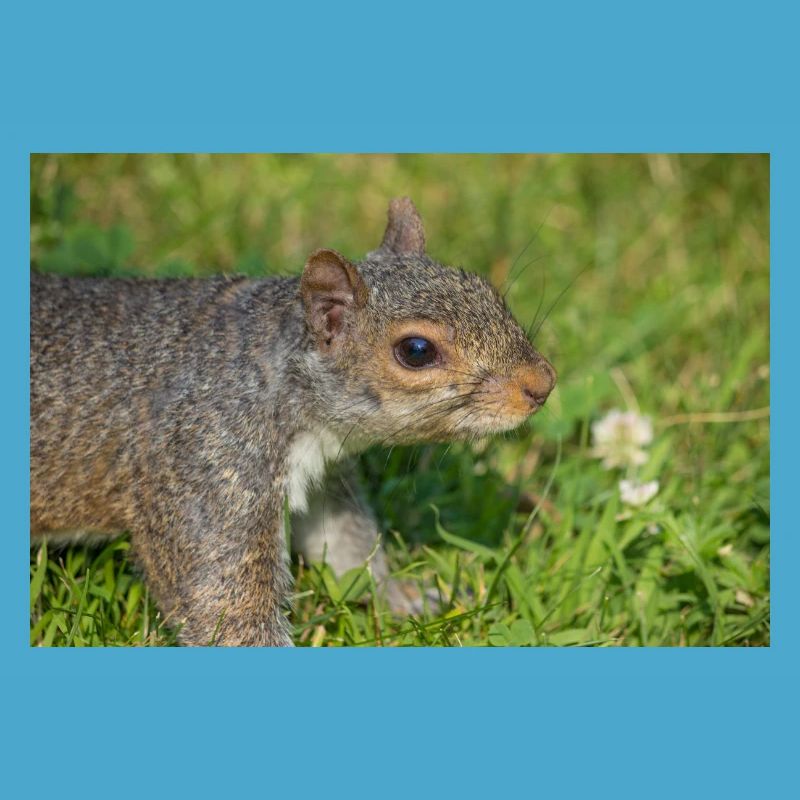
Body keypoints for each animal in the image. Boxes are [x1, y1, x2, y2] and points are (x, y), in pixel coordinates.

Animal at [30, 197, 556, 646]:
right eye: (416, 350)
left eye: (485, 289)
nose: (542, 384)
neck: (274, 373)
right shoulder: (203, 468)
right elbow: (222, 604)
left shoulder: (324, 475)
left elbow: (345, 547)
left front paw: (407, 599)